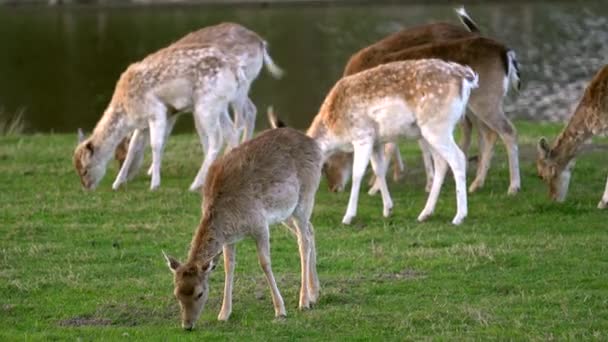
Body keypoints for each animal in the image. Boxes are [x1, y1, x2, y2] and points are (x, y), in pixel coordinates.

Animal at [75, 43, 246, 191]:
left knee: (217, 139)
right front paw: (117, 183)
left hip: (205, 105)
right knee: (231, 132)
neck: (127, 112)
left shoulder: (156, 111)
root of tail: (237, 69)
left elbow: (156, 145)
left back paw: (195, 184)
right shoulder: (143, 123)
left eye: (85, 169)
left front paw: (154, 184)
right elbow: (132, 148)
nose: (86, 188)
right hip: (220, 105)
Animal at [162, 127, 324, 330]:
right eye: (176, 293)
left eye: (199, 293)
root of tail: (316, 145)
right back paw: (314, 294)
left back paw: (304, 301)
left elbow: (264, 263)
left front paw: (280, 310)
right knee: (310, 231)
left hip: (305, 197)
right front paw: (223, 314)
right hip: (285, 212)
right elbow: (228, 266)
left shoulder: (260, 224)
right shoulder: (228, 239)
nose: (187, 325)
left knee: (304, 241)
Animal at [326, 7, 520, 195]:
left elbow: (390, 146)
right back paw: (475, 184)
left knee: (507, 131)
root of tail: (505, 52)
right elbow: (416, 143)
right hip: (473, 105)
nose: (333, 188)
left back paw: (513, 187)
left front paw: (376, 187)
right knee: (486, 132)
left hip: (485, 99)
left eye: (327, 162)